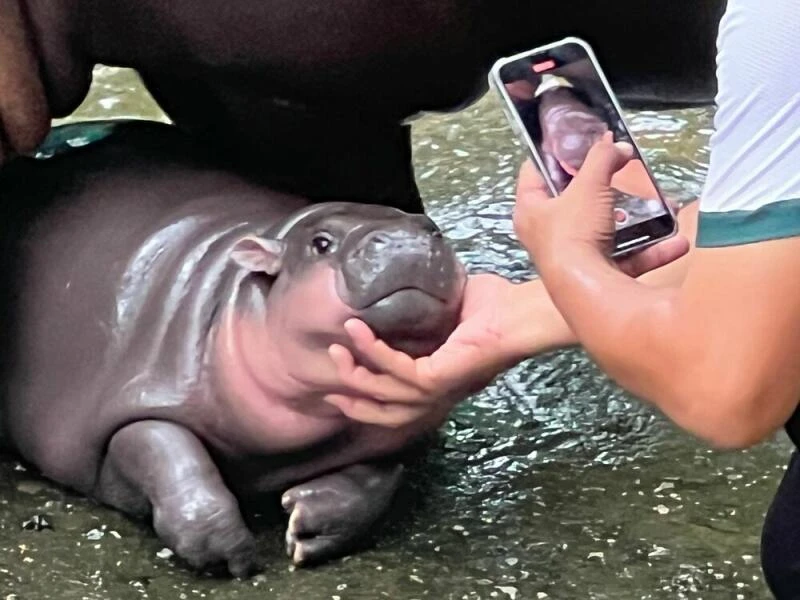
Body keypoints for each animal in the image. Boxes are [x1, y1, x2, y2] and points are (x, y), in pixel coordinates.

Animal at [0, 119, 468, 576]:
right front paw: (230, 558)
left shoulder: (392, 433)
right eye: (321, 243)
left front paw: (307, 528)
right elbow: (170, 455)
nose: (405, 241)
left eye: (432, 229)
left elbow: (375, 479)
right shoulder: (141, 395)